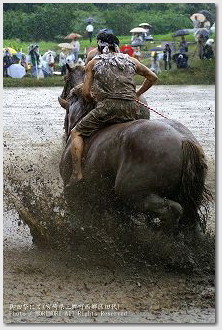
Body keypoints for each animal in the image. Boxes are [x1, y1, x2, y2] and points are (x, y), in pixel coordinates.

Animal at [58, 64, 211, 233]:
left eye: (65, 79)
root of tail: (184, 140)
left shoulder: (75, 198)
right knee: (191, 219)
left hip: (135, 194)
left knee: (174, 210)